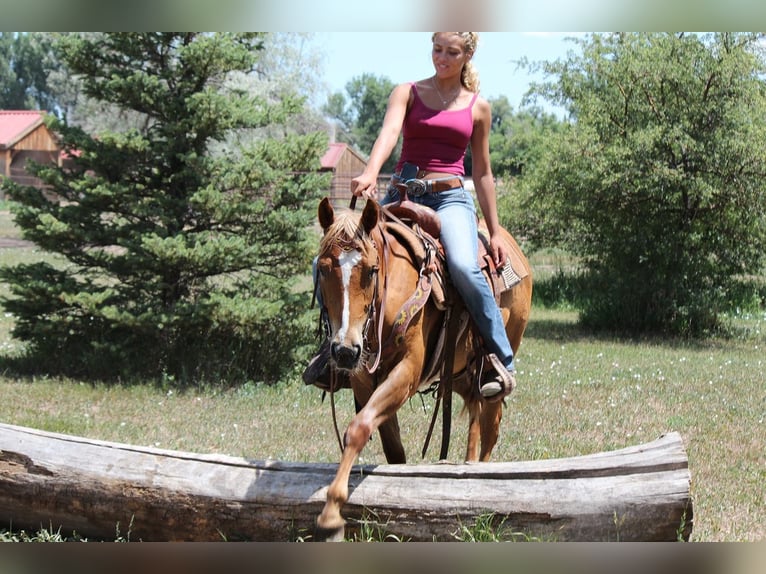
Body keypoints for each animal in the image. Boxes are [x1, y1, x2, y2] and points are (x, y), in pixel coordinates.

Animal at [313, 196, 532, 541]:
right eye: (322, 270)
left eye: (371, 271)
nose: (345, 351)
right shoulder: (364, 379)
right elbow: (390, 447)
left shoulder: (407, 372)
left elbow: (358, 428)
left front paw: (331, 514)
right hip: (461, 374)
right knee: (474, 415)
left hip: (495, 364)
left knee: (490, 425)